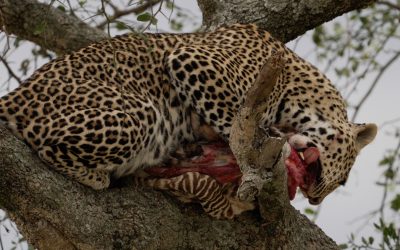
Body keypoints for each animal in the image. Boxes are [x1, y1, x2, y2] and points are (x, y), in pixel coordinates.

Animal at [0, 23, 376, 218]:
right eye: (343, 181)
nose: (316, 200)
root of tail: (15, 95)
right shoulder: (192, 60)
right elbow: (233, 119)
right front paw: (268, 156)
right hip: (141, 113)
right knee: (48, 149)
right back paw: (97, 177)